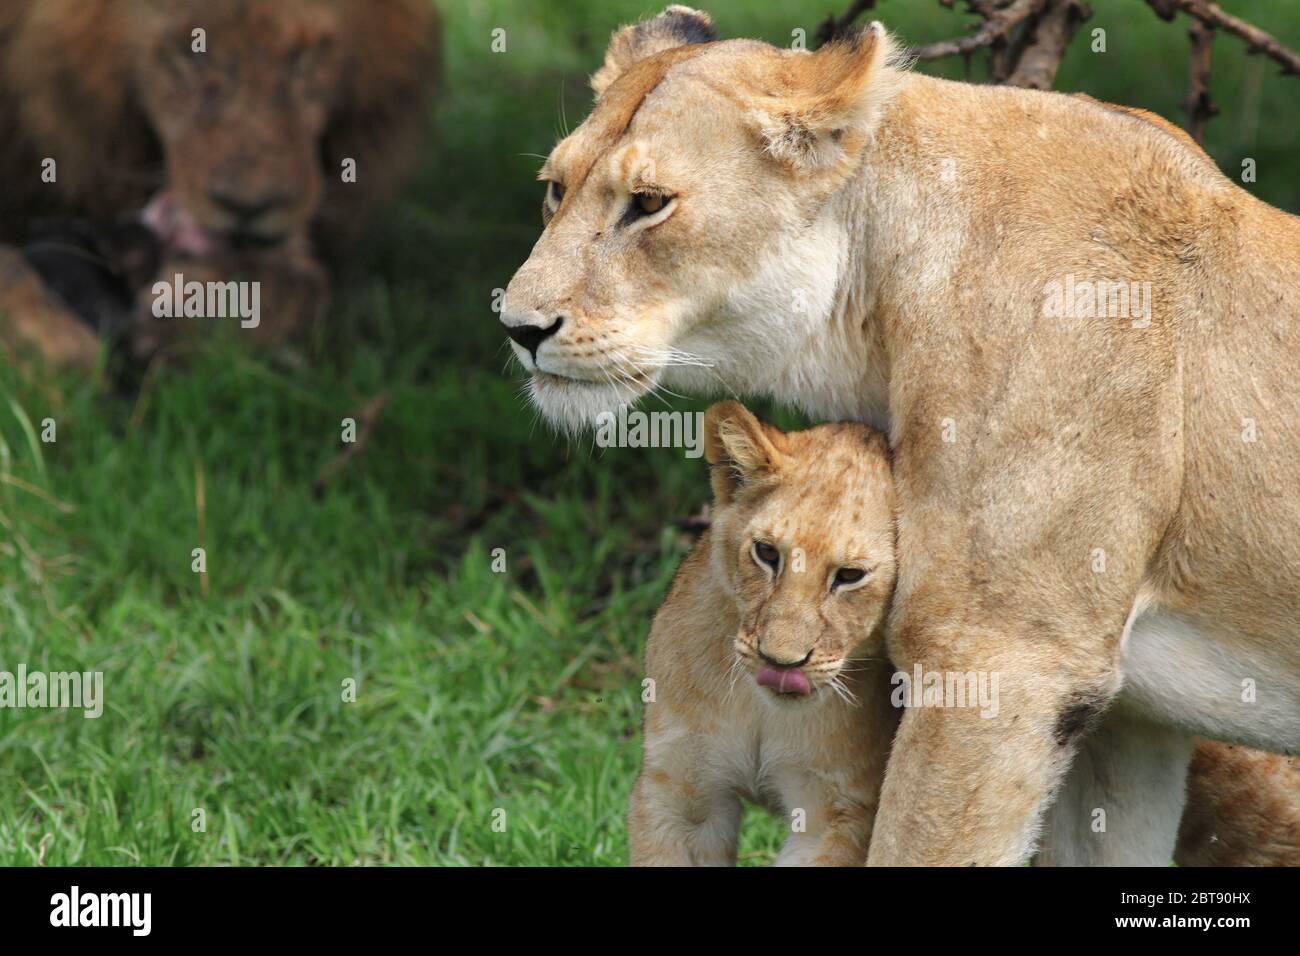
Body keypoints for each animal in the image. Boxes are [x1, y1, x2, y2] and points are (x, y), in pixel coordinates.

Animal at [0, 0, 441, 369]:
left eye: (303, 56)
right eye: (188, 53)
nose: (248, 208)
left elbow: (308, 285)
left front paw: (190, 311)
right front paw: (57, 347)